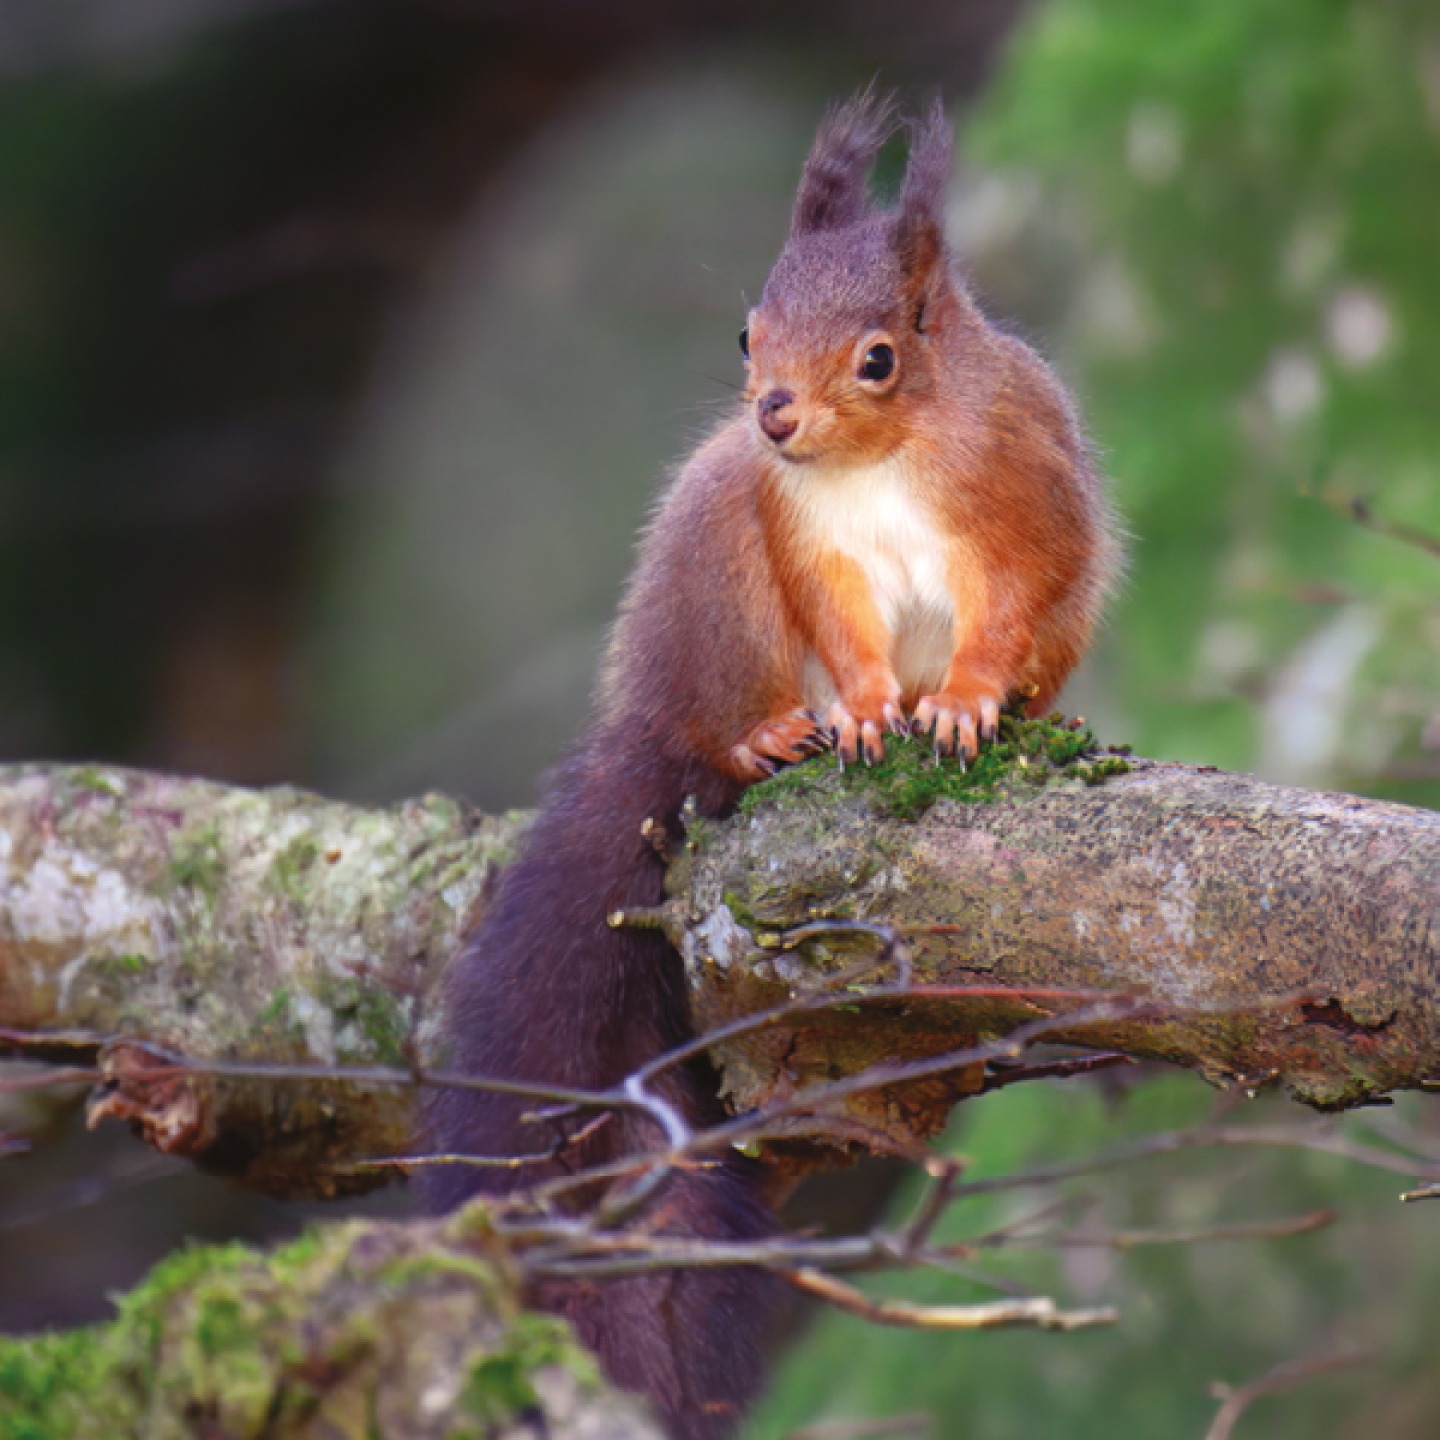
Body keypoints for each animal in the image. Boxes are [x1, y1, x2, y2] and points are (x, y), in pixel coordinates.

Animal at [420, 92, 1120, 1439]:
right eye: (748, 329)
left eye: (879, 358)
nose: (774, 413)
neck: (878, 462)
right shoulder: (806, 548)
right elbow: (844, 638)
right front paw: (864, 715)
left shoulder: (1022, 506)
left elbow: (1005, 609)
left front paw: (960, 706)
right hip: (720, 562)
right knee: (708, 728)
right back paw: (766, 737)